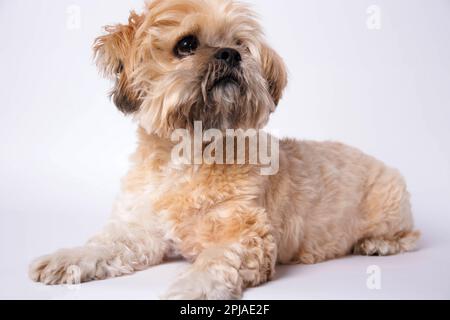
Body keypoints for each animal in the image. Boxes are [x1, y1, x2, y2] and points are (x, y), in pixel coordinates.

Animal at [29, 0, 420, 300]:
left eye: (241, 44)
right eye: (186, 44)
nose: (231, 54)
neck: (188, 156)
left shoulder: (246, 236)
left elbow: (216, 263)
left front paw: (190, 286)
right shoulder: (142, 230)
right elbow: (107, 245)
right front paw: (69, 258)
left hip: (390, 205)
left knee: (410, 237)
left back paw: (379, 244)